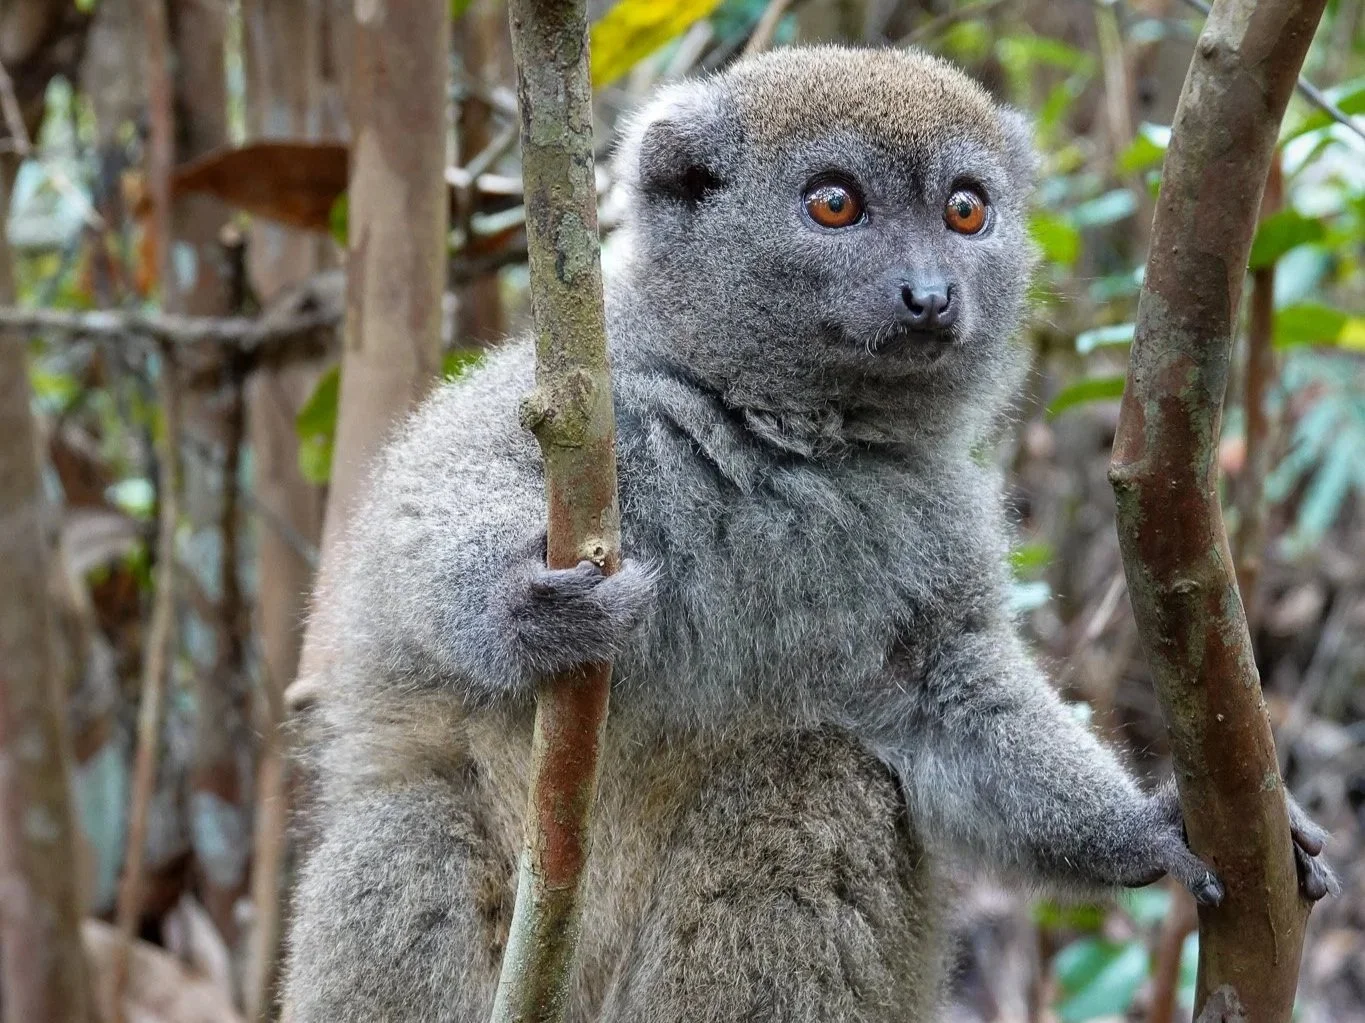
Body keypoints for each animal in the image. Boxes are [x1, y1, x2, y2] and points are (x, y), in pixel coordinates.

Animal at [282, 45, 1335, 1023]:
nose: (929, 295)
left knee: (817, 782)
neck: (787, 437)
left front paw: (1151, 832)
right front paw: (523, 609)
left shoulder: (933, 518)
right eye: (834, 205)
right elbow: (427, 513)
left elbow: (943, 691)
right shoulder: (584, 405)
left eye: (964, 211)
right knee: (410, 829)